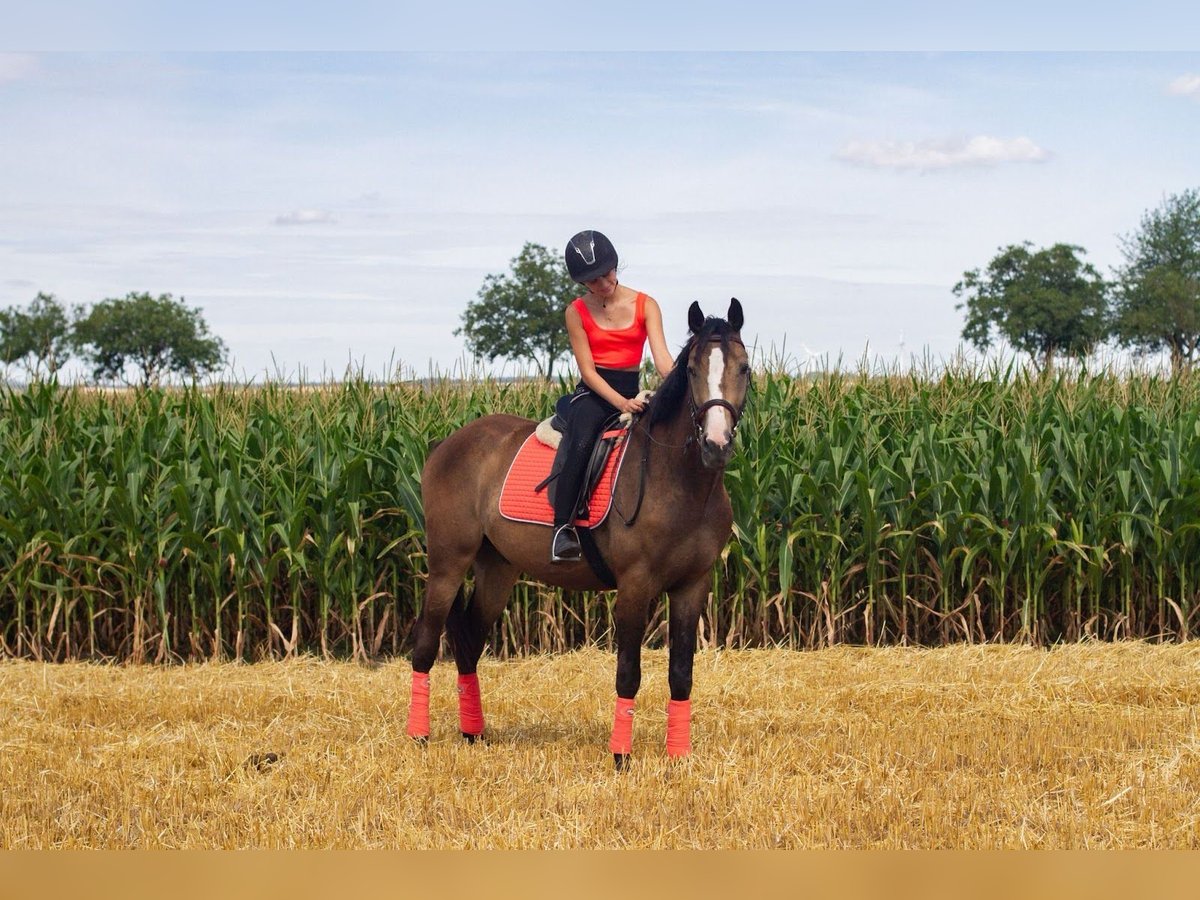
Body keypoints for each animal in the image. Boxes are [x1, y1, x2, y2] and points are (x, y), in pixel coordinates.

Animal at [408, 300, 753, 763]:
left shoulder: (692, 586)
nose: (716, 444)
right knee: (426, 641)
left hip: (496, 569)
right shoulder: (635, 585)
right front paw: (621, 757)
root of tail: (448, 444)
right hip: (448, 562)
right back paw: (418, 736)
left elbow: (681, 673)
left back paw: (473, 733)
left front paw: (678, 756)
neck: (679, 481)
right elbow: (628, 673)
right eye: (693, 370)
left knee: (468, 642)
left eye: (744, 368)